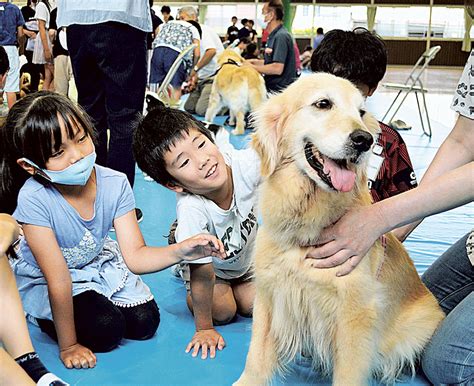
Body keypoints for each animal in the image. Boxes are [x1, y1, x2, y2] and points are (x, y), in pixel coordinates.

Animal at [236, 73, 444, 386]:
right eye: (323, 104)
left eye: (361, 112)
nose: (364, 140)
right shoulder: (270, 295)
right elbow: (255, 358)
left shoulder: (355, 315)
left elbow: (348, 373)